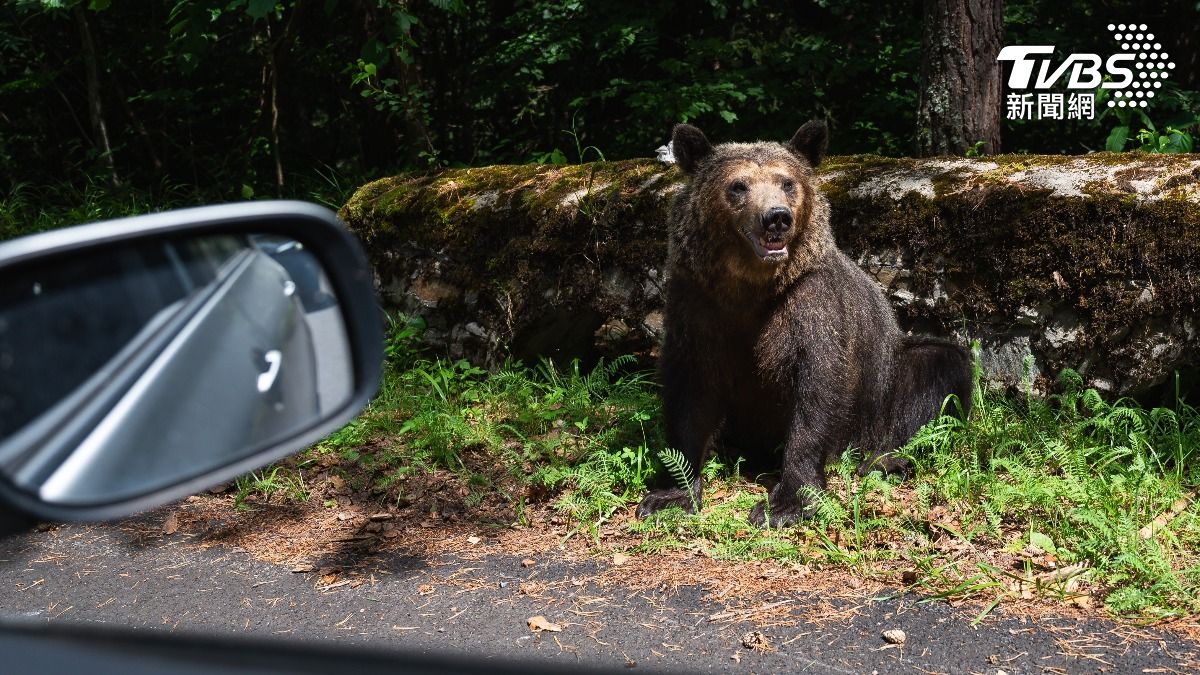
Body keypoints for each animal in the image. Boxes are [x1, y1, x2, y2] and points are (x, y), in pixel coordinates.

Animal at [635, 121, 973, 528]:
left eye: (787, 182)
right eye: (738, 185)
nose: (776, 216)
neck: (750, 287)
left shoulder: (810, 302)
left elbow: (817, 386)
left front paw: (785, 503)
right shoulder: (698, 302)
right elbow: (690, 390)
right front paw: (671, 493)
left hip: (883, 388)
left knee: (937, 366)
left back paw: (886, 460)